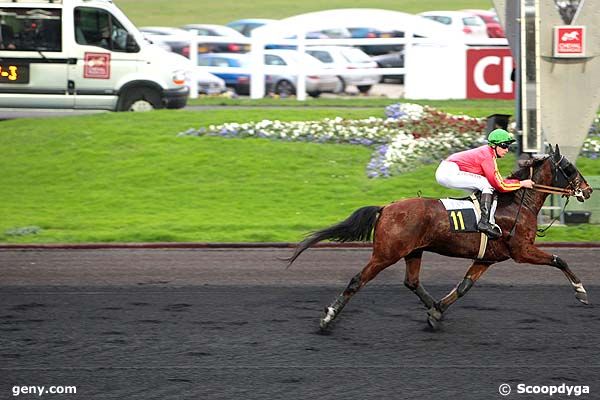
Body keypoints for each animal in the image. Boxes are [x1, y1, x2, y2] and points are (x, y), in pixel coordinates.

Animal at [288, 145, 592, 330]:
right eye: (570, 169)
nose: (588, 190)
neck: (518, 203)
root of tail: (386, 208)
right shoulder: (522, 250)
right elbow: (559, 259)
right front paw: (581, 291)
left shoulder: (487, 259)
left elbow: (464, 286)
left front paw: (437, 312)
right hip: (386, 253)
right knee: (357, 280)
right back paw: (328, 317)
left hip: (413, 251)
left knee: (411, 282)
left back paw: (433, 305)